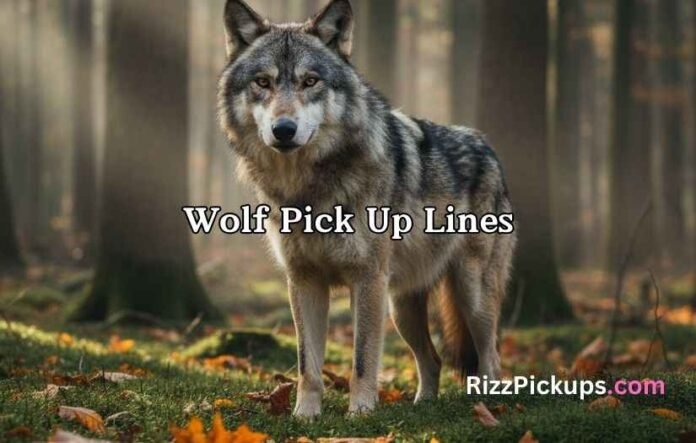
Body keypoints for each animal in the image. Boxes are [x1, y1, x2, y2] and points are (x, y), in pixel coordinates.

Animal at [218, 0, 516, 417]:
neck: (308, 190)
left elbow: (362, 358)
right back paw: (422, 405)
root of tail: (486, 146)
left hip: (469, 294)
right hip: (401, 307)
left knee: (491, 354)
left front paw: (360, 413)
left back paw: (489, 406)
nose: (284, 129)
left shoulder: (367, 279)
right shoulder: (304, 280)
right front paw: (304, 416)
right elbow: (307, 364)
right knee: (433, 359)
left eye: (310, 81)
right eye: (263, 82)